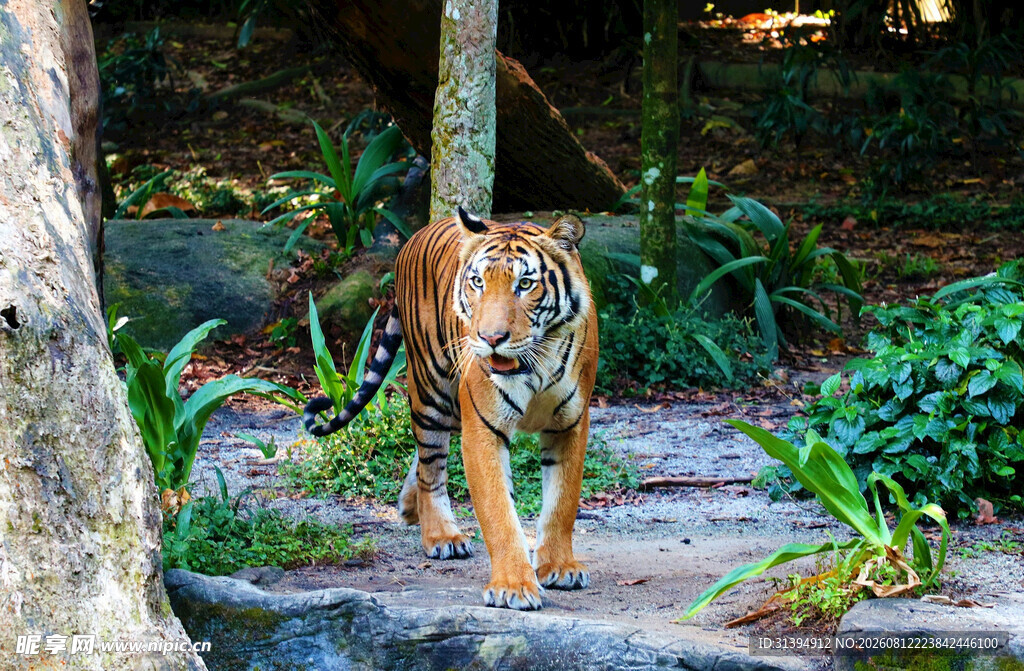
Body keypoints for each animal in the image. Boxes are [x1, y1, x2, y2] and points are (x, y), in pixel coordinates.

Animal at [303, 207, 598, 611]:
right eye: (478, 282)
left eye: (525, 284)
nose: (491, 339)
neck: (535, 362)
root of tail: (413, 237)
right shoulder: (483, 427)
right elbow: (498, 512)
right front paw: (513, 587)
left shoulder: (569, 424)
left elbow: (562, 502)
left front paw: (559, 566)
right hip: (432, 391)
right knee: (431, 467)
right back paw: (441, 535)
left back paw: (409, 506)